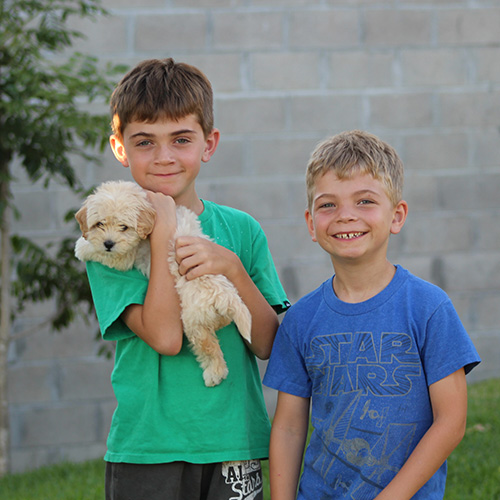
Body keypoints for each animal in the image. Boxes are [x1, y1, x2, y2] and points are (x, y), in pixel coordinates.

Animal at [75, 180, 252, 386]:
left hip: (194, 323)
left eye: (124, 227)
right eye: (99, 224)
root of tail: (226, 297)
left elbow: (101, 253)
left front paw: (81, 247)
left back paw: (214, 374)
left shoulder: (125, 256)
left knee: (209, 348)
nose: (108, 243)